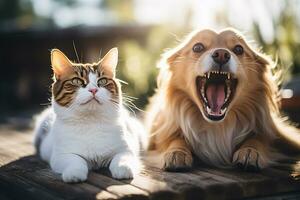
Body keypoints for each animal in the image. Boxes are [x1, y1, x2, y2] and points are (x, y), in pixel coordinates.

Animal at [33, 47, 148, 183]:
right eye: (76, 81)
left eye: (102, 81)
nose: (93, 90)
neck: (91, 121)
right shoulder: (61, 155)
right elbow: (75, 161)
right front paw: (74, 174)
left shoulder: (126, 149)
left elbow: (121, 158)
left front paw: (123, 169)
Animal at [145, 28, 300, 172]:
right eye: (197, 47)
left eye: (239, 49)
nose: (221, 54)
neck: (217, 125)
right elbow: (173, 139)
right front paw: (177, 152)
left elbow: (259, 139)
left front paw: (250, 151)